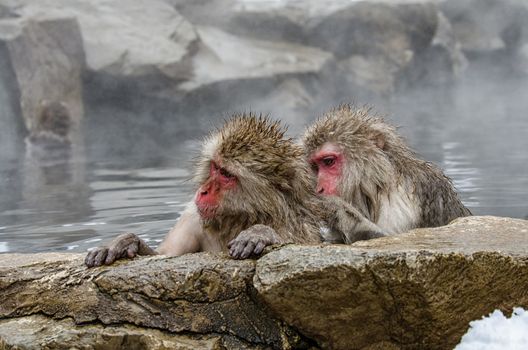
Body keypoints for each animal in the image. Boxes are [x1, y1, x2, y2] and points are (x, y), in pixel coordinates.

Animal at [85, 113, 322, 266]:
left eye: (226, 175)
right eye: (215, 167)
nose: (203, 191)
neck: (240, 219)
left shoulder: (297, 225)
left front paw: (260, 233)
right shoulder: (192, 215)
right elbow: (165, 254)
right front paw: (126, 242)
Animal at [304, 104, 472, 243]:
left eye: (328, 161)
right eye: (315, 166)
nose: (319, 189)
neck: (379, 184)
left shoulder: (399, 205)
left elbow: (386, 238)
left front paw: (333, 206)